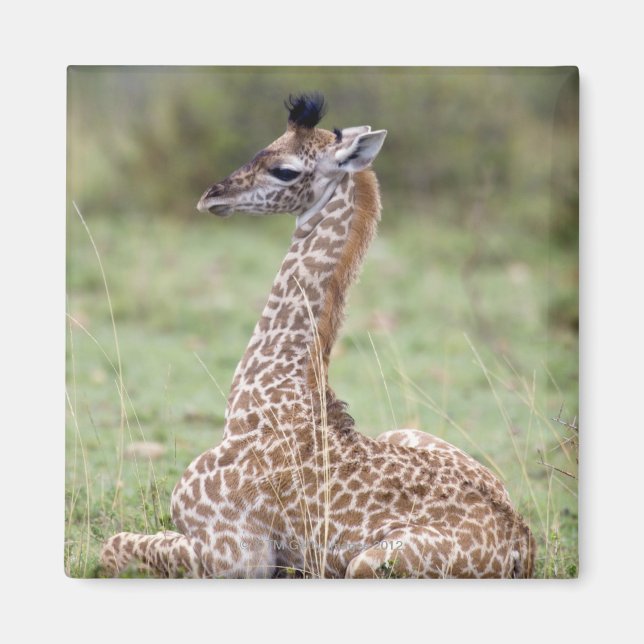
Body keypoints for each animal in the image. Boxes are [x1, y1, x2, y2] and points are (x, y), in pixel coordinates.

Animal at [101, 94, 535, 579]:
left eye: (285, 170)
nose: (212, 195)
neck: (260, 400)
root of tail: (523, 545)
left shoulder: (236, 555)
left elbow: (112, 545)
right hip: (406, 432)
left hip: (367, 563)